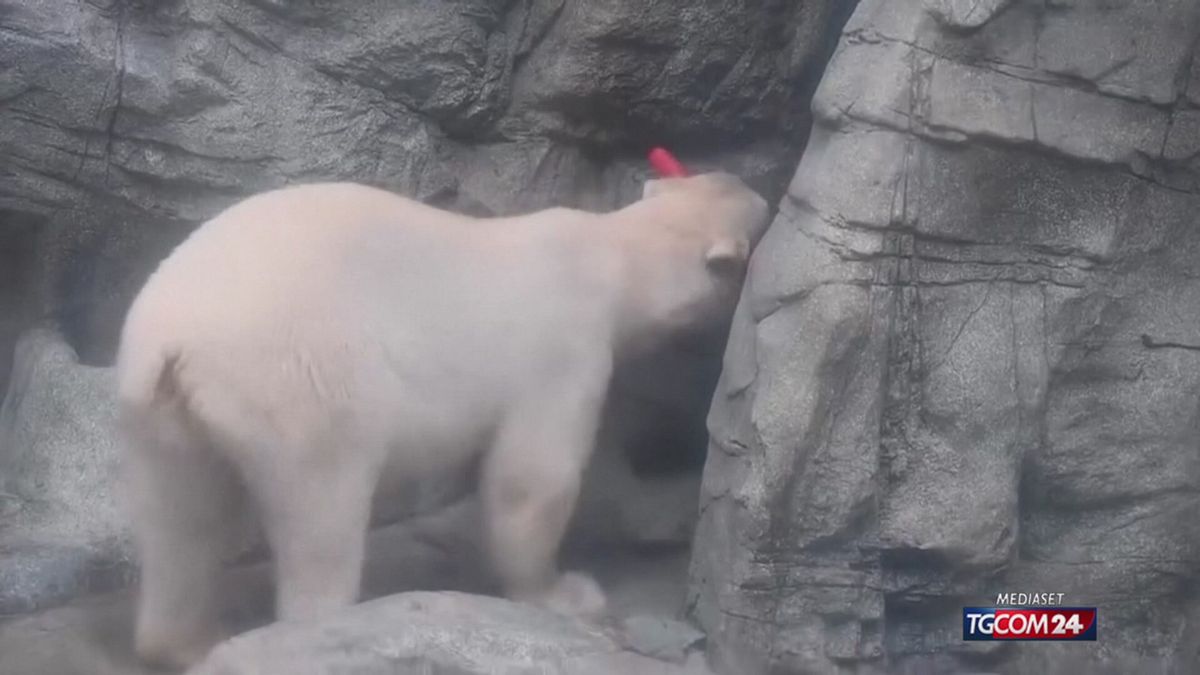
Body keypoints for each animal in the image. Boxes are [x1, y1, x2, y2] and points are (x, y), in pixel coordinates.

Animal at [116, 172, 770, 669]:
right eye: (757, 212)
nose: (762, 189)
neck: (607, 253)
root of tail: (172, 340)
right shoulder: (564, 348)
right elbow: (535, 478)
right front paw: (566, 592)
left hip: (159, 412)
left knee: (180, 517)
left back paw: (186, 641)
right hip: (299, 380)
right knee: (321, 509)